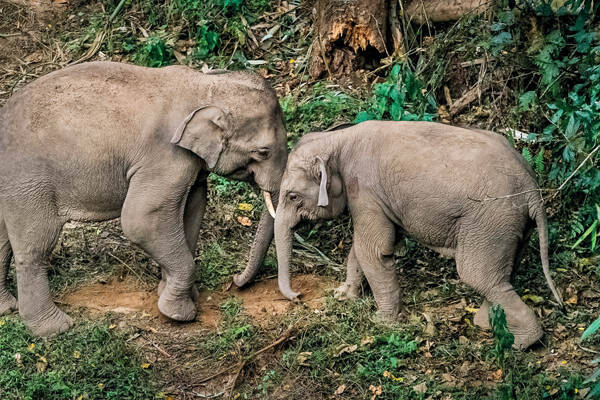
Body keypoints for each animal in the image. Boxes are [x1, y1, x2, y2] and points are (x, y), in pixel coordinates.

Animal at [0, 61, 288, 338]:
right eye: (262, 152)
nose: (235, 281)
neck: (205, 85)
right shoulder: (165, 156)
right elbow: (142, 221)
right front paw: (179, 314)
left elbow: (193, 209)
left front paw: (179, 294)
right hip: (28, 183)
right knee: (36, 247)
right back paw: (55, 328)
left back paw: (7, 308)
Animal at [274, 121, 564, 350]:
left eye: (292, 196)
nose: (298, 296)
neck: (337, 139)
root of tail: (531, 186)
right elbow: (361, 248)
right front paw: (343, 296)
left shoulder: (365, 190)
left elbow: (374, 250)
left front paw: (383, 322)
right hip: (512, 224)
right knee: (500, 275)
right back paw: (488, 324)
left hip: (490, 219)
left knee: (477, 275)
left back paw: (521, 344)